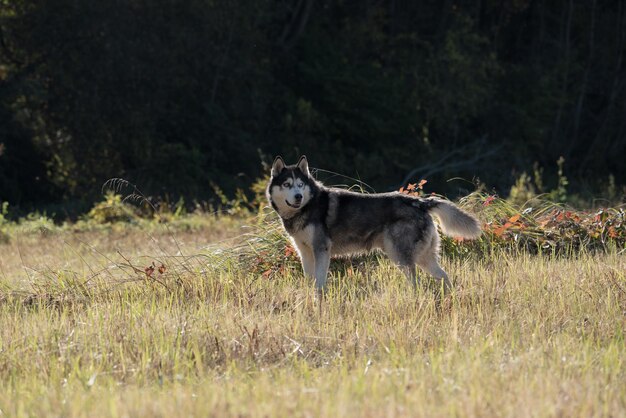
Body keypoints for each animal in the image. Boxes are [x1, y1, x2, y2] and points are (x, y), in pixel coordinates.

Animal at [266, 155, 480, 292]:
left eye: (300, 184)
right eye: (287, 184)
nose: (298, 196)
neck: (305, 208)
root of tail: (420, 202)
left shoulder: (322, 250)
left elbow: (319, 283)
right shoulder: (305, 252)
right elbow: (310, 281)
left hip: (401, 256)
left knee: (417, 283)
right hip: (422, 257)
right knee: (444, 276)